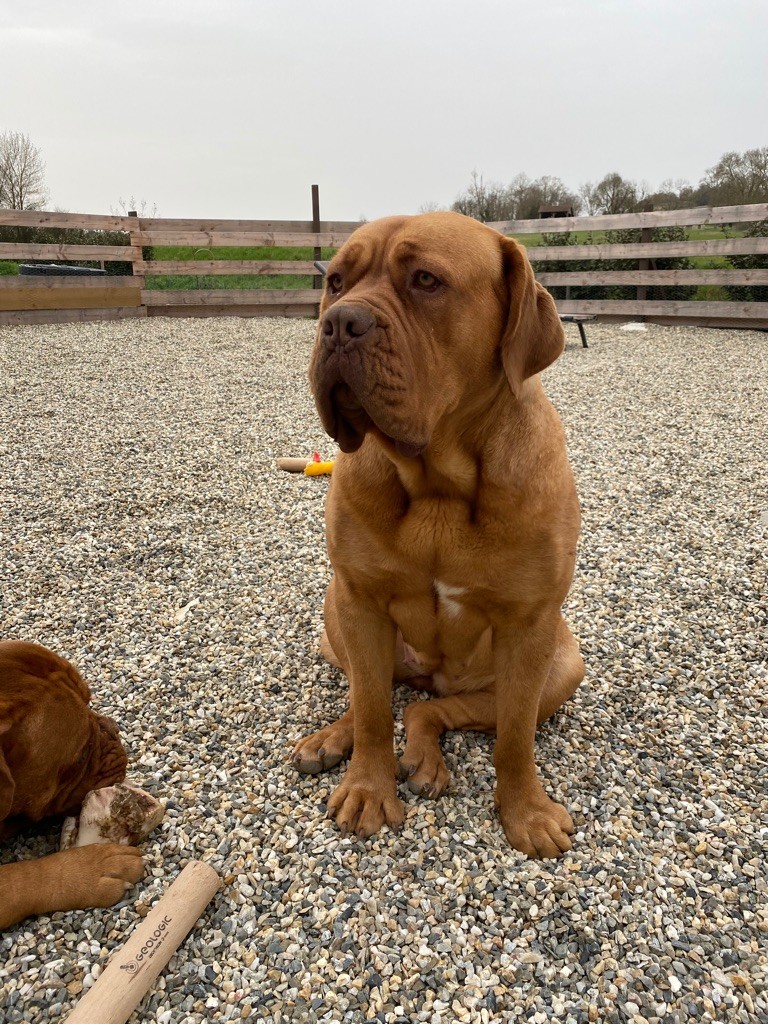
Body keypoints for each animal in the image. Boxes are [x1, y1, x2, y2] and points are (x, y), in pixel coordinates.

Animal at [294, 214, 581, 856]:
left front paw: (526, 812)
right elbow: (373, 711)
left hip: (563, 663)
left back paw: (425, 758)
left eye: (426, 280)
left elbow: (515, 737)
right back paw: (331, 738)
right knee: (371, 692)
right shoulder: (360, 598)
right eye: (336, 281)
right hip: (334, 610)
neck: (436, 485)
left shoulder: (530, 625)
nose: (339, 322)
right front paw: (368, 790)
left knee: (432, 710)